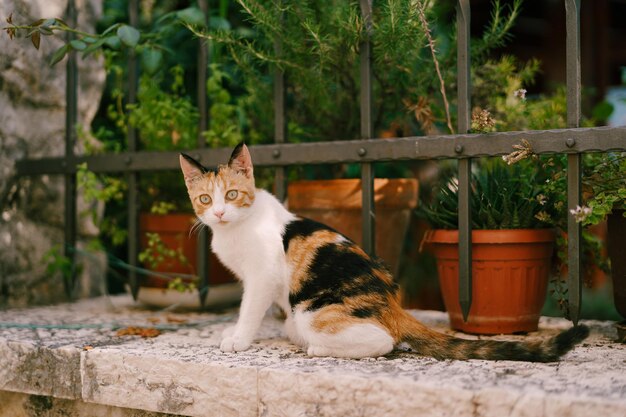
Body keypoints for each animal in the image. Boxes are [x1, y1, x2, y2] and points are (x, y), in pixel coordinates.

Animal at [178, 144, 588, 360]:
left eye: (232, 194)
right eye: (205, 199)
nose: (218, 212)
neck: (235, 229)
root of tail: (393, 306)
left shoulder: (262, 276)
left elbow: (249, 310)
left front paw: (238, 339)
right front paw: (233, 331)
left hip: (310, 312)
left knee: (384, 342)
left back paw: (317, 349)